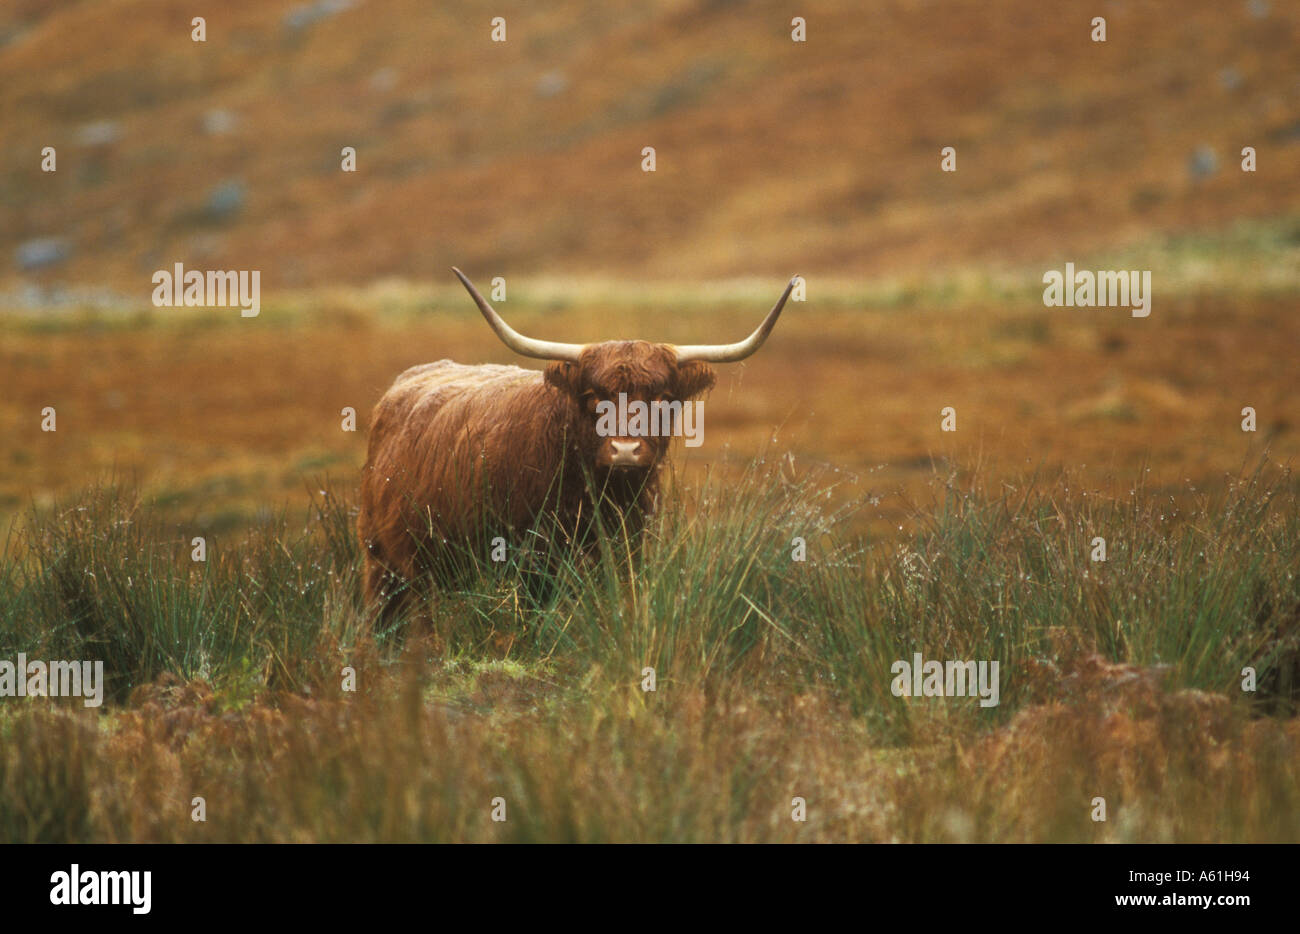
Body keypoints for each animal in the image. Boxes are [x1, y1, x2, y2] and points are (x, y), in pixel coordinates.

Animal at [357, 268, 797, 619]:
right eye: (593, 397)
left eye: (661, 398)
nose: (624, 450)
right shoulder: (527, 561)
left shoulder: (626, 553)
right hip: (383, 561)